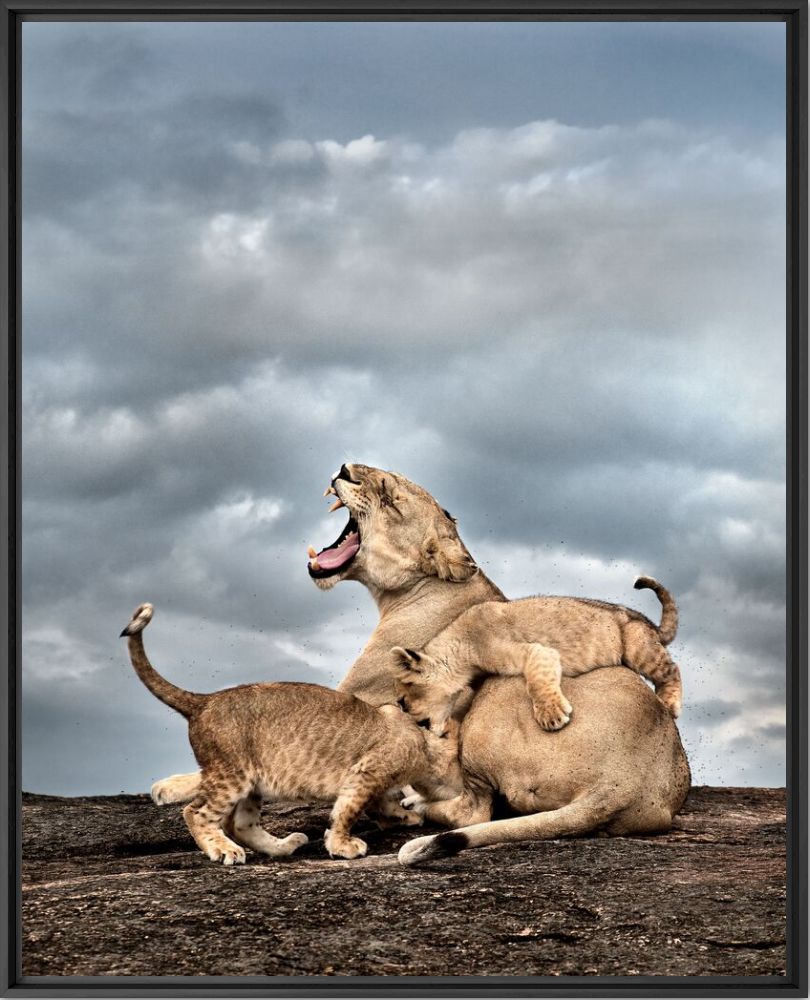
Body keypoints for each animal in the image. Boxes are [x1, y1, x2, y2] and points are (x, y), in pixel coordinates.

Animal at [151, 463, 690, 866]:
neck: (411, 592)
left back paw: (413, 807)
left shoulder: (356, 701)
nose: (344, 467)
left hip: (487, 723)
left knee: (475, 811)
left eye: (388, 494)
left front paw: (171, 785)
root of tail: (622, 780)